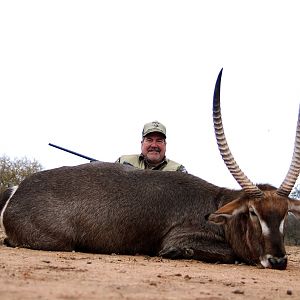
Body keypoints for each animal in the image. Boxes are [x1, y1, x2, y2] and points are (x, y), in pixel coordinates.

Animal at [0, 69, 300, 270]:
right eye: (252, 213)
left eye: (285, 213)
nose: (278, 260)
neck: (217, 203)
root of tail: (18, 189)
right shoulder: (179, 237)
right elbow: (223, 253)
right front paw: (178, 253)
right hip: (59, 242)